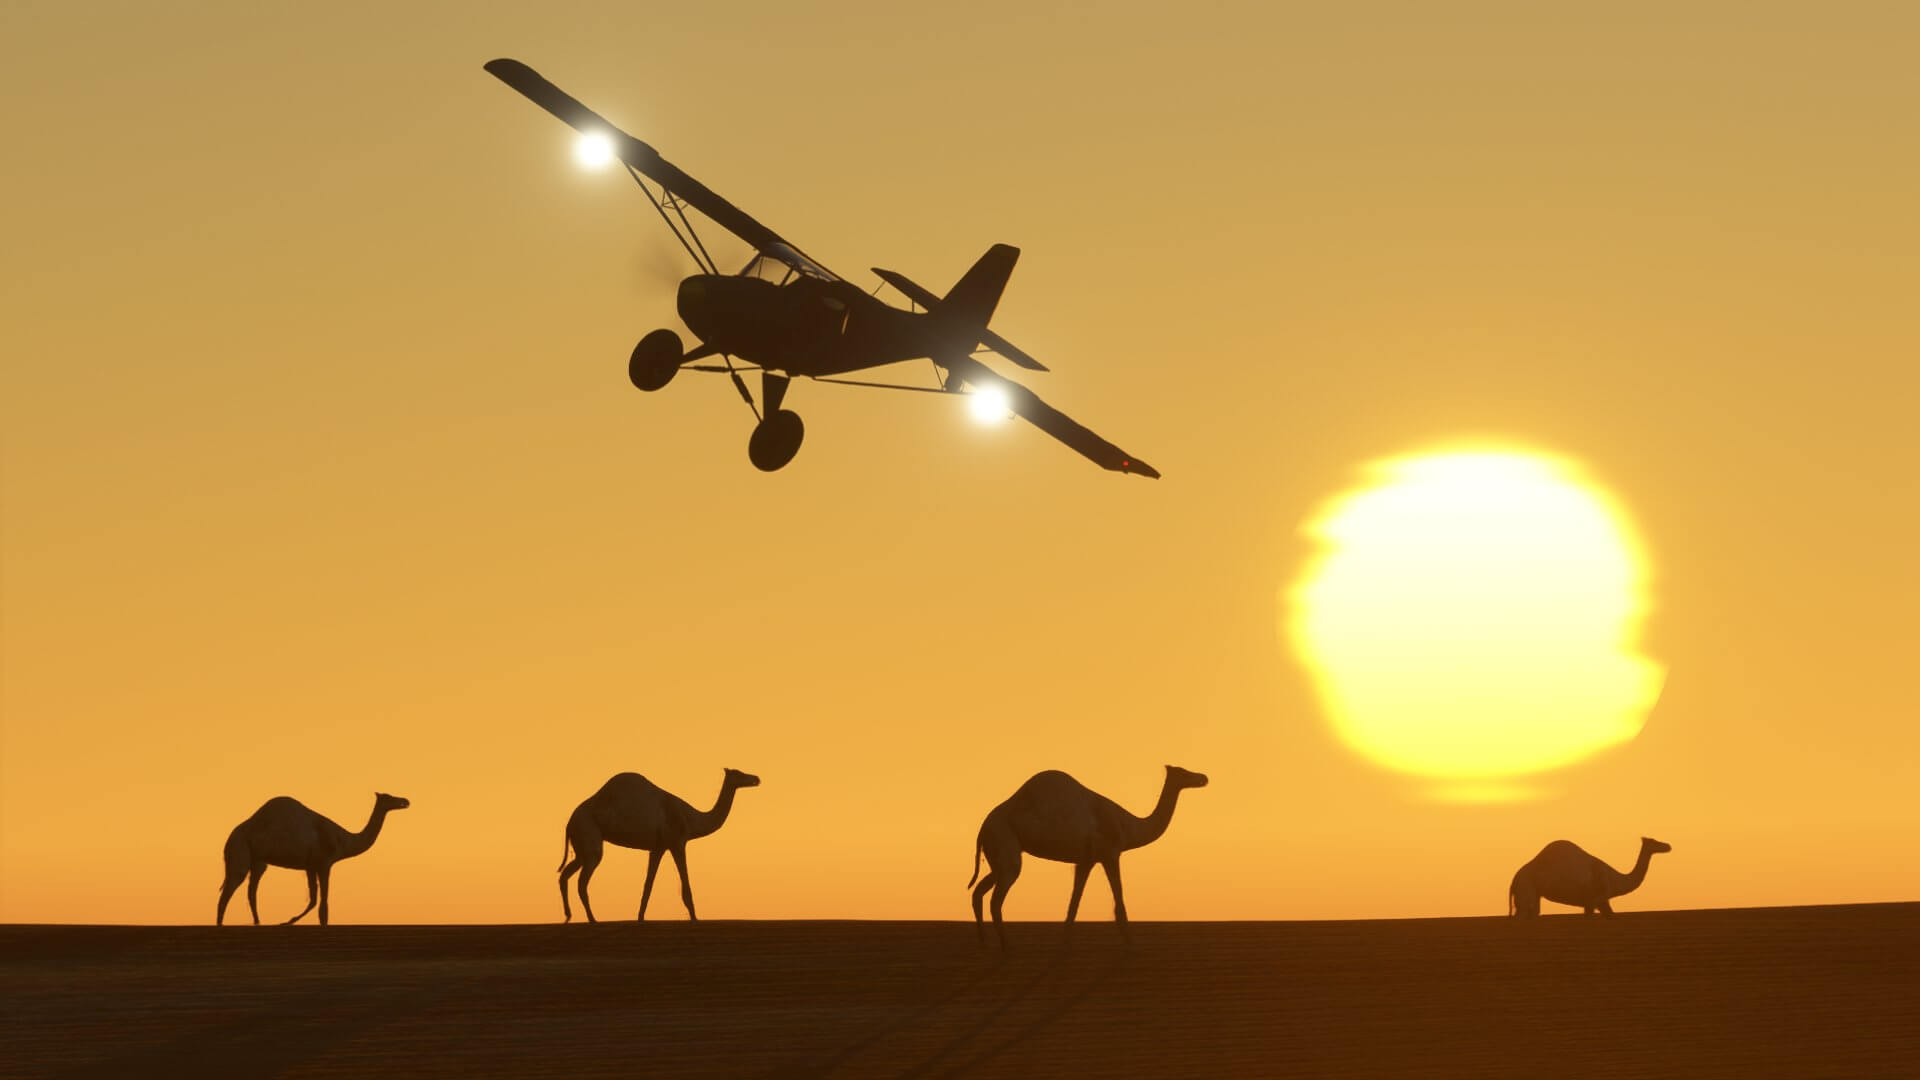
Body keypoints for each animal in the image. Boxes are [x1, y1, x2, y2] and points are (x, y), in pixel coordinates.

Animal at [216, 787, 410, 922]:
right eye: (389, 797)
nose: (405, 801)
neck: (344, 840)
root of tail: (231, 837)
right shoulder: (325, 863)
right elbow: (323, 907)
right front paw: (288, 921)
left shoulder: (310, 866)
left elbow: (313, 900)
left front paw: (288, 921)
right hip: (240, 852)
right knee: (228, 891)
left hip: (258, 861)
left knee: (251, 891)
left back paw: (258, 923)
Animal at [556, 764, 756, 914]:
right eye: (739, 774)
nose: (756, 778)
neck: (691, 818)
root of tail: (569, 824)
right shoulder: (677, 842)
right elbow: (686, 890)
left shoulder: (658, 848)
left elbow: (647, 888)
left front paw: (640, 919)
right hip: (589, 836)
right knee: (582, 882)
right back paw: (592, 920)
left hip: (581, 845)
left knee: (566, 874)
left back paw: (568, 916)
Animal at [967, 760, 1205, 945]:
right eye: (1184, 772)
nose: (1203, 777)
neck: (1128, 826)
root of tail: (982, 829)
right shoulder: (1110, 853)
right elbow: (1119, 905)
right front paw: (1131, 947)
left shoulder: (1086, 860)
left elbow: (1073, 906)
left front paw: (1064, 946)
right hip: (1005, 846)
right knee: (996, 899)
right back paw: (1007, 947)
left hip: (998, 854)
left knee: (978, 891)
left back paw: (983, 942)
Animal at [1512, 826, 1666, 910]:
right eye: (1655, 842)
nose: (1668, 846)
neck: (1615, 879)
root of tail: (1515, 879)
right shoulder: (1597, 899)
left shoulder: (1593, 902)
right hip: (1526, 891)